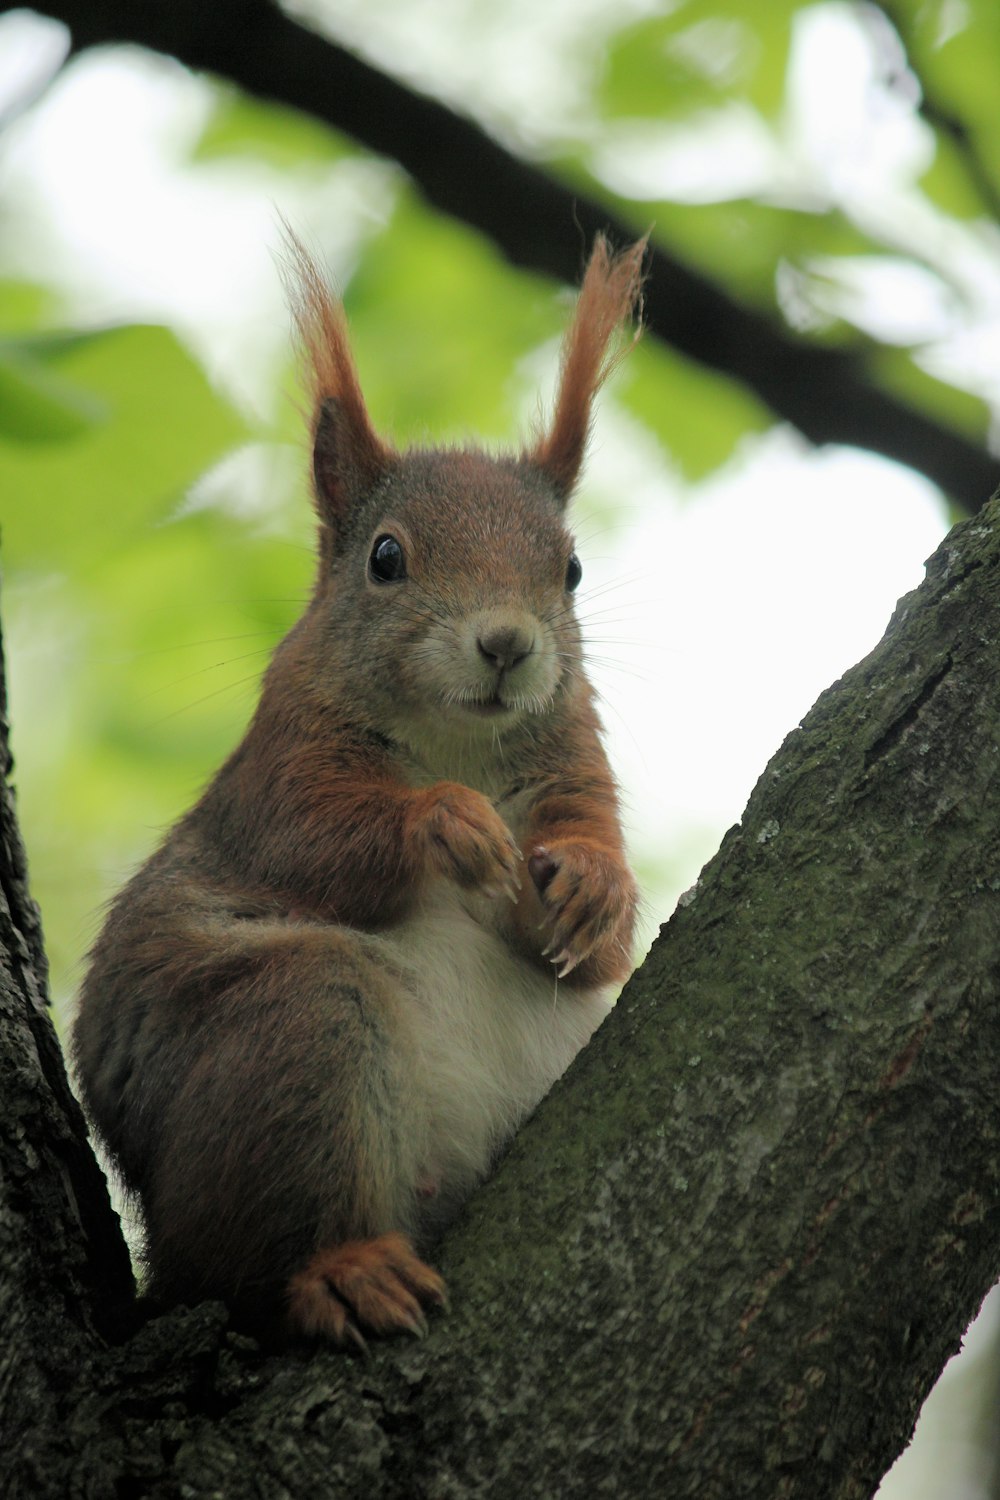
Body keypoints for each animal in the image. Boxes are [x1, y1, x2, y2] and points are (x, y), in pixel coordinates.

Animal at [74, 231, 644, 1350]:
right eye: (386, 558)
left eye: (570, 571)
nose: (507, 645)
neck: (454, 739)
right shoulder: (277, 769)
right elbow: (318, 845)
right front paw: (447, 823)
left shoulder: (578, 766)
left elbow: (598, 944)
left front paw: (594, 888)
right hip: (297, 1036)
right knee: (263, 1253)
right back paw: (343, 1272)